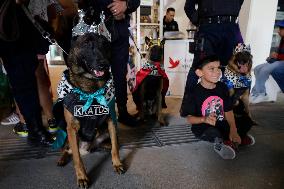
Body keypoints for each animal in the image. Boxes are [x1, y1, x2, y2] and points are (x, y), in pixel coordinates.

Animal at [53, 32, 123, 188]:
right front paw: (82, 177)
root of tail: (86, 149)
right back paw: (61, 159)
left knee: (111, 144)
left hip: (103, 134)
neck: (92, 89)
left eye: (105, 44)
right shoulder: (71, 128)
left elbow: (115, 148)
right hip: (67, 135)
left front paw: (117, 163)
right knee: (67, 150)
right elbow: (77, 159)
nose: (104, 64)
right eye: (86, 43)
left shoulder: (111, 121)